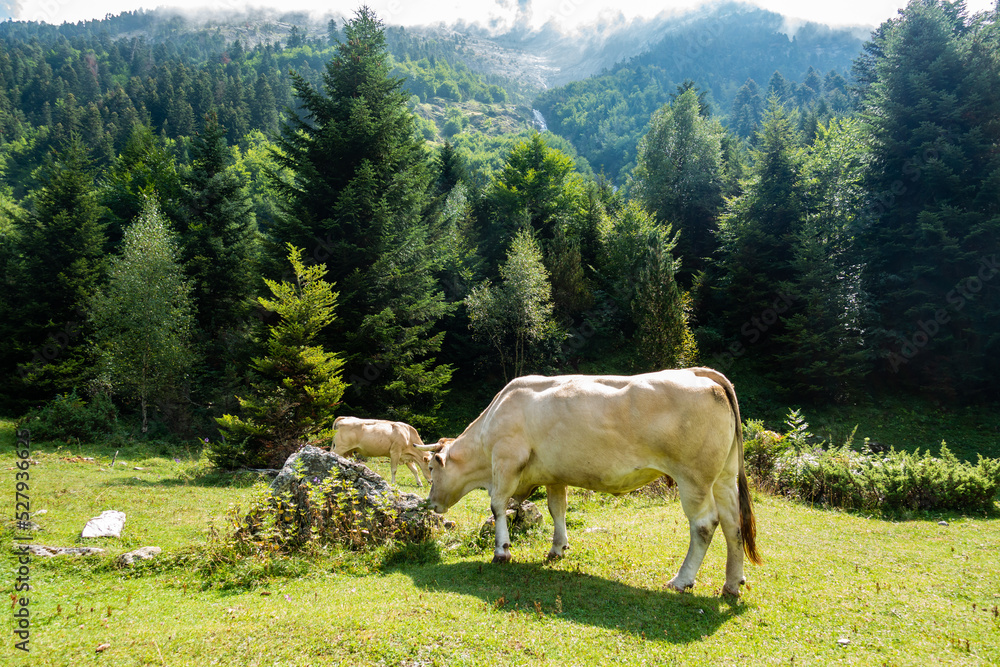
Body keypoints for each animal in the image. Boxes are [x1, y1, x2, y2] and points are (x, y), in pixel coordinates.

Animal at [418, 368, 761, 596]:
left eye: (431, 469)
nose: (430, 504)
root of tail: (702, 374)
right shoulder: (554, 474)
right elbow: (557, 508)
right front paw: (557, 548)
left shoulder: (506, 460)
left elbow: (497, 506)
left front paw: (501, 551)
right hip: (724, 477)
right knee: (733, 524)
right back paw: (732, 583)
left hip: (694, 478)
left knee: (705, 524)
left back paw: (681, 580)